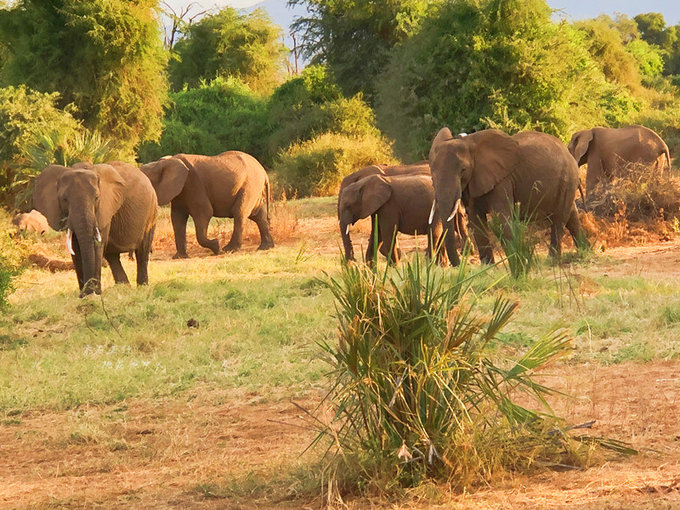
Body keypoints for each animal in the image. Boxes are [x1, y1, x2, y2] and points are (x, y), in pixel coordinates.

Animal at [34, 161, 158, 296]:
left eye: (97, 198)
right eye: (64, 199)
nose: (87, 291)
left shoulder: (105, 208)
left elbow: (97, 245)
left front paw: (94, 294)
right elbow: (75, 246)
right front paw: (84, 295)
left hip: (151, 211)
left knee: (142, 251)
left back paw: (142, 287)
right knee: (112, 257)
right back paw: (124, 287)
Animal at [141, 149, 274, 256]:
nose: (151, 251)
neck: (162, 163)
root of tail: (264, 172)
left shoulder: (193, 184)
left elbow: (204, 213)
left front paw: (217, 246)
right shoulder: (180, 192)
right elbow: (177, 218)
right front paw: (179, 257)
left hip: (250, 186)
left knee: (240, 213)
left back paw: (228, 250)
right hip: (254, 188)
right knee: (258, 216)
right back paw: (265, 247)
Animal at [430, 127, 584, 264]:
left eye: (463, 170)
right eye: (432, 173)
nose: (458, 265)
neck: (469, 142)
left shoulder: (502, 180)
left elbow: (502, 217)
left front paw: (517, 260)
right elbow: (476, 222)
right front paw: (488, 267)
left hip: (567, 178)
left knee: (559, 218)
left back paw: (552, 260)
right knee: (571, 215)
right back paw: (585, 251)